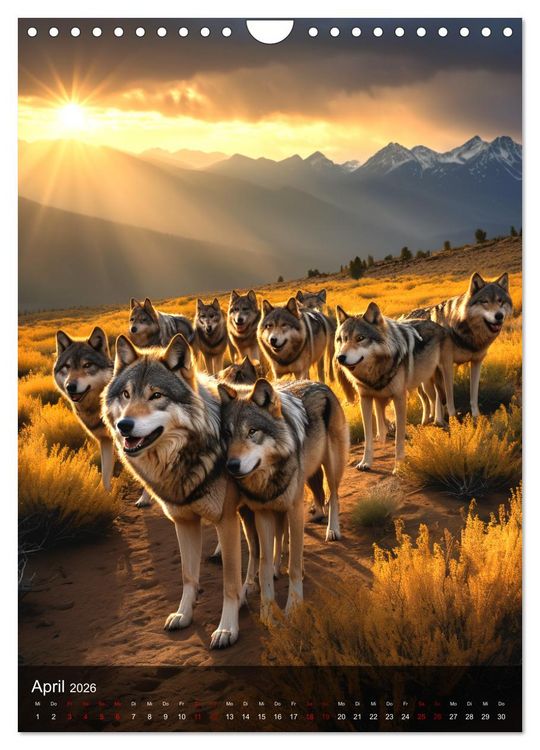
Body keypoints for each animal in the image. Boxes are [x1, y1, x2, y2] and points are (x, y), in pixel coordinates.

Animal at [102, 333, 242, 649]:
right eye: (126, 395)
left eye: (156, 396)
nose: (124, 425)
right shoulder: (184, 521)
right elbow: (188, 576)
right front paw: (183, 614)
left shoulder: (227, 519)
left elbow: (229, 583)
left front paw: (227, 629)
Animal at [218, 378, 349, 623]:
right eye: (228, 434)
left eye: (252, 431)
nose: (231, 466)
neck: (268, 478)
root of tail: (318, 382)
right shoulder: (263, 513)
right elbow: (264, 565)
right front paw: (268, 610)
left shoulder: (295, 508)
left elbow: (295, 564)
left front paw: (294, 607)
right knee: (282, 535)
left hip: (331, 465)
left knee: (334, 496)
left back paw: (332, 530)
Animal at [335, 302, 454, 472]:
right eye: (342, 340)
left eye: (360, 338)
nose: (340, 357)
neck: (375, 371)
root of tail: (437, 325)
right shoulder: (365, 398)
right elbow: (368, 437)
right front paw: (366, 462)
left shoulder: (399, 398)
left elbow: (399, 438)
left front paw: (399, 466)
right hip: (423, 384)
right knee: (430, 399)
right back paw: (429, 421)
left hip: (444, 375)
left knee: (447, 398)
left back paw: (448, 421)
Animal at [403, 272, 512, 417]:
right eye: (485, 302)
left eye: (500, 301)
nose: (499, 316)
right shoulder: (446, 364)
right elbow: (450, 397)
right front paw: (453, 418)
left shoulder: (477, 362)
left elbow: (473, 394)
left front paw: (476, 417)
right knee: (426, 400)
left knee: (430, 399)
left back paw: (433, 418)